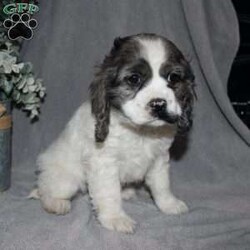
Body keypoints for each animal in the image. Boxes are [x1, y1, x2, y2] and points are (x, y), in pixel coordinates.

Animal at [30, 32, 195, 232]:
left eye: (173, 77)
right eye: (134, 78)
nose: (158, 104)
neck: (140, 131)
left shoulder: (159, 159)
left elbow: (161, 185)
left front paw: (169, 204)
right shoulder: (104, 162)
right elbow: (109, 193)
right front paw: (115, 218)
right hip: (66, 180)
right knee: (46, 189)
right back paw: (55, 203)